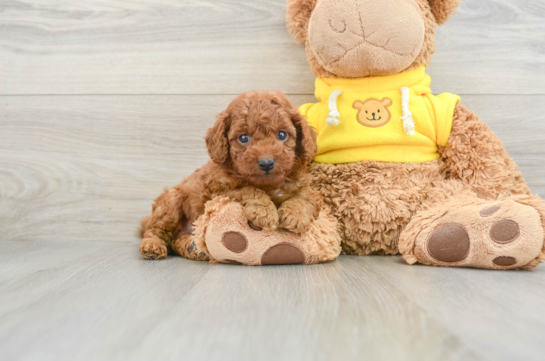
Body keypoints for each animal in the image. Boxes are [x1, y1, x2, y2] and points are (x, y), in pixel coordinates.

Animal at [139, 89, 318, 258]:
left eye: (282, 134)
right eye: (243, 138)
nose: (266, 163)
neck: (269, 185)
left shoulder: (307, 190)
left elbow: (304, 198)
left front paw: (295, 215)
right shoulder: (218, 192)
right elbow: (248, 189)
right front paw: (264, 210)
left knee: (176, 240)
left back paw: (193, 248)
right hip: (171, 202)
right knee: (156, 230)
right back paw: (152, 246)